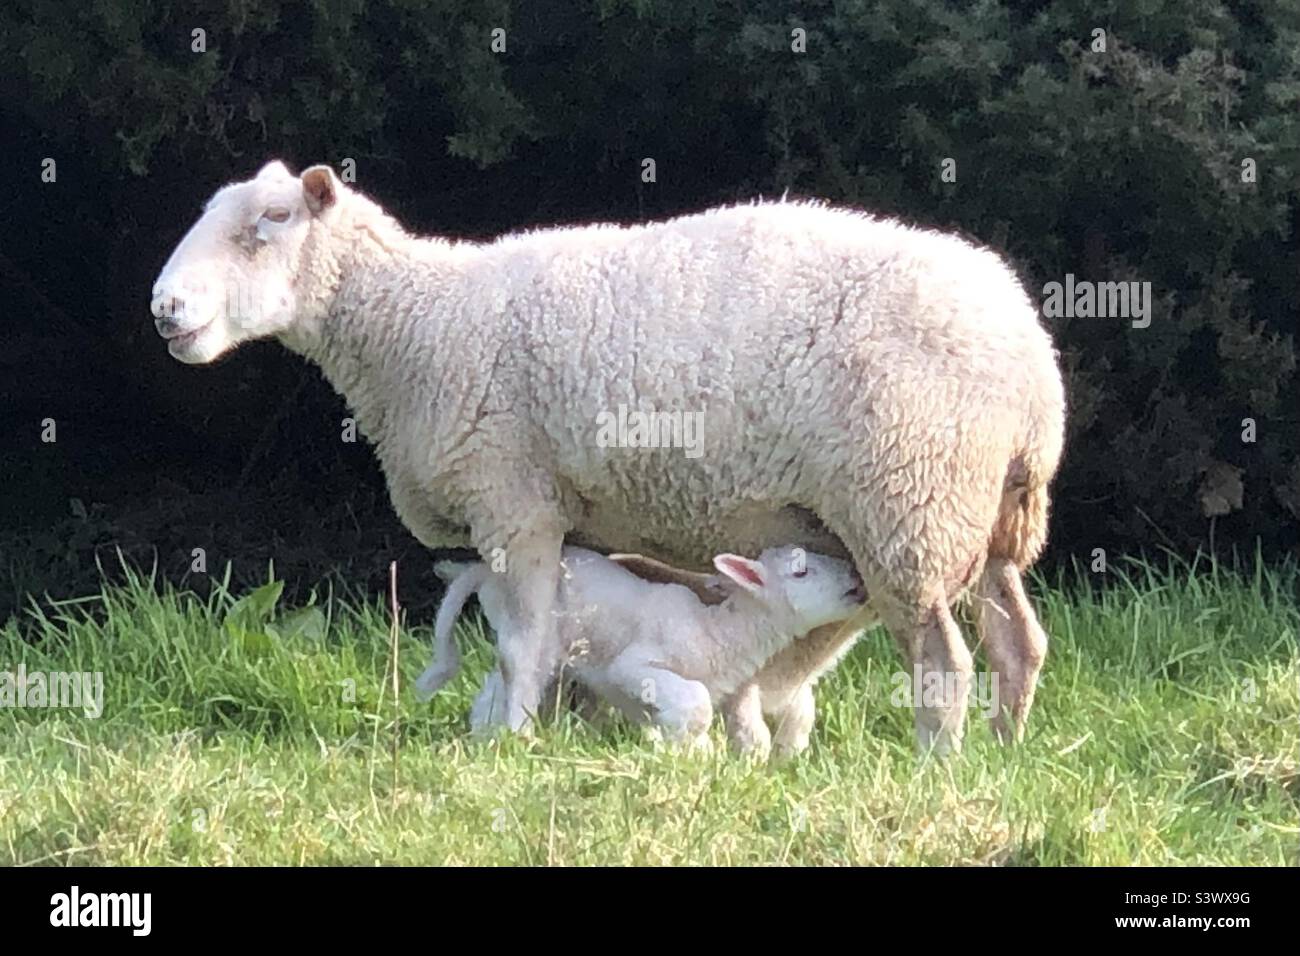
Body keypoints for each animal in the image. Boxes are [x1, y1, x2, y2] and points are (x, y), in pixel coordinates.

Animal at [413, 541, 863, 749]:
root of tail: (484, 572)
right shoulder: (634, 667)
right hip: (532, 629)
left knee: (494, 685)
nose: (856, 579)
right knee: (516, 673)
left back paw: (483, 736)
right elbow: (696, 703)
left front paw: (683, 750)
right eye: (801, 572)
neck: (717, 632)